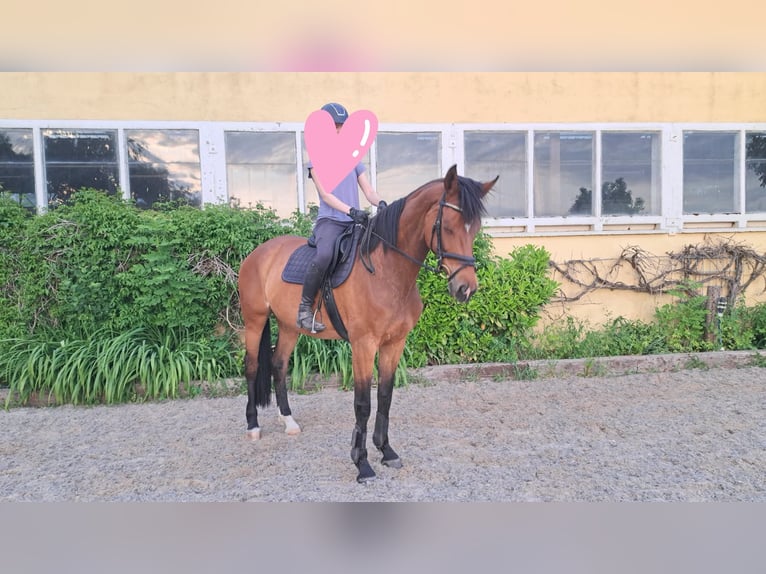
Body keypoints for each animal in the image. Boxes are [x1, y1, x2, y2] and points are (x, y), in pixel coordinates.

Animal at [237, 164, 498, 483]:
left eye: (475, 228)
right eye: (447, 226)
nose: (466, 289)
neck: (386, 273)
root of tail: (258, 253)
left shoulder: (394, 343)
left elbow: (385, 396)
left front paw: (386, 451)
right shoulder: (363, 345)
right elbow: (363, 404)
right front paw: (362, 464)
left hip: (289, 326)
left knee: (278, 364)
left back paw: (289, 421)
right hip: (254, 320)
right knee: (251, 367)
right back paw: (253, 426)